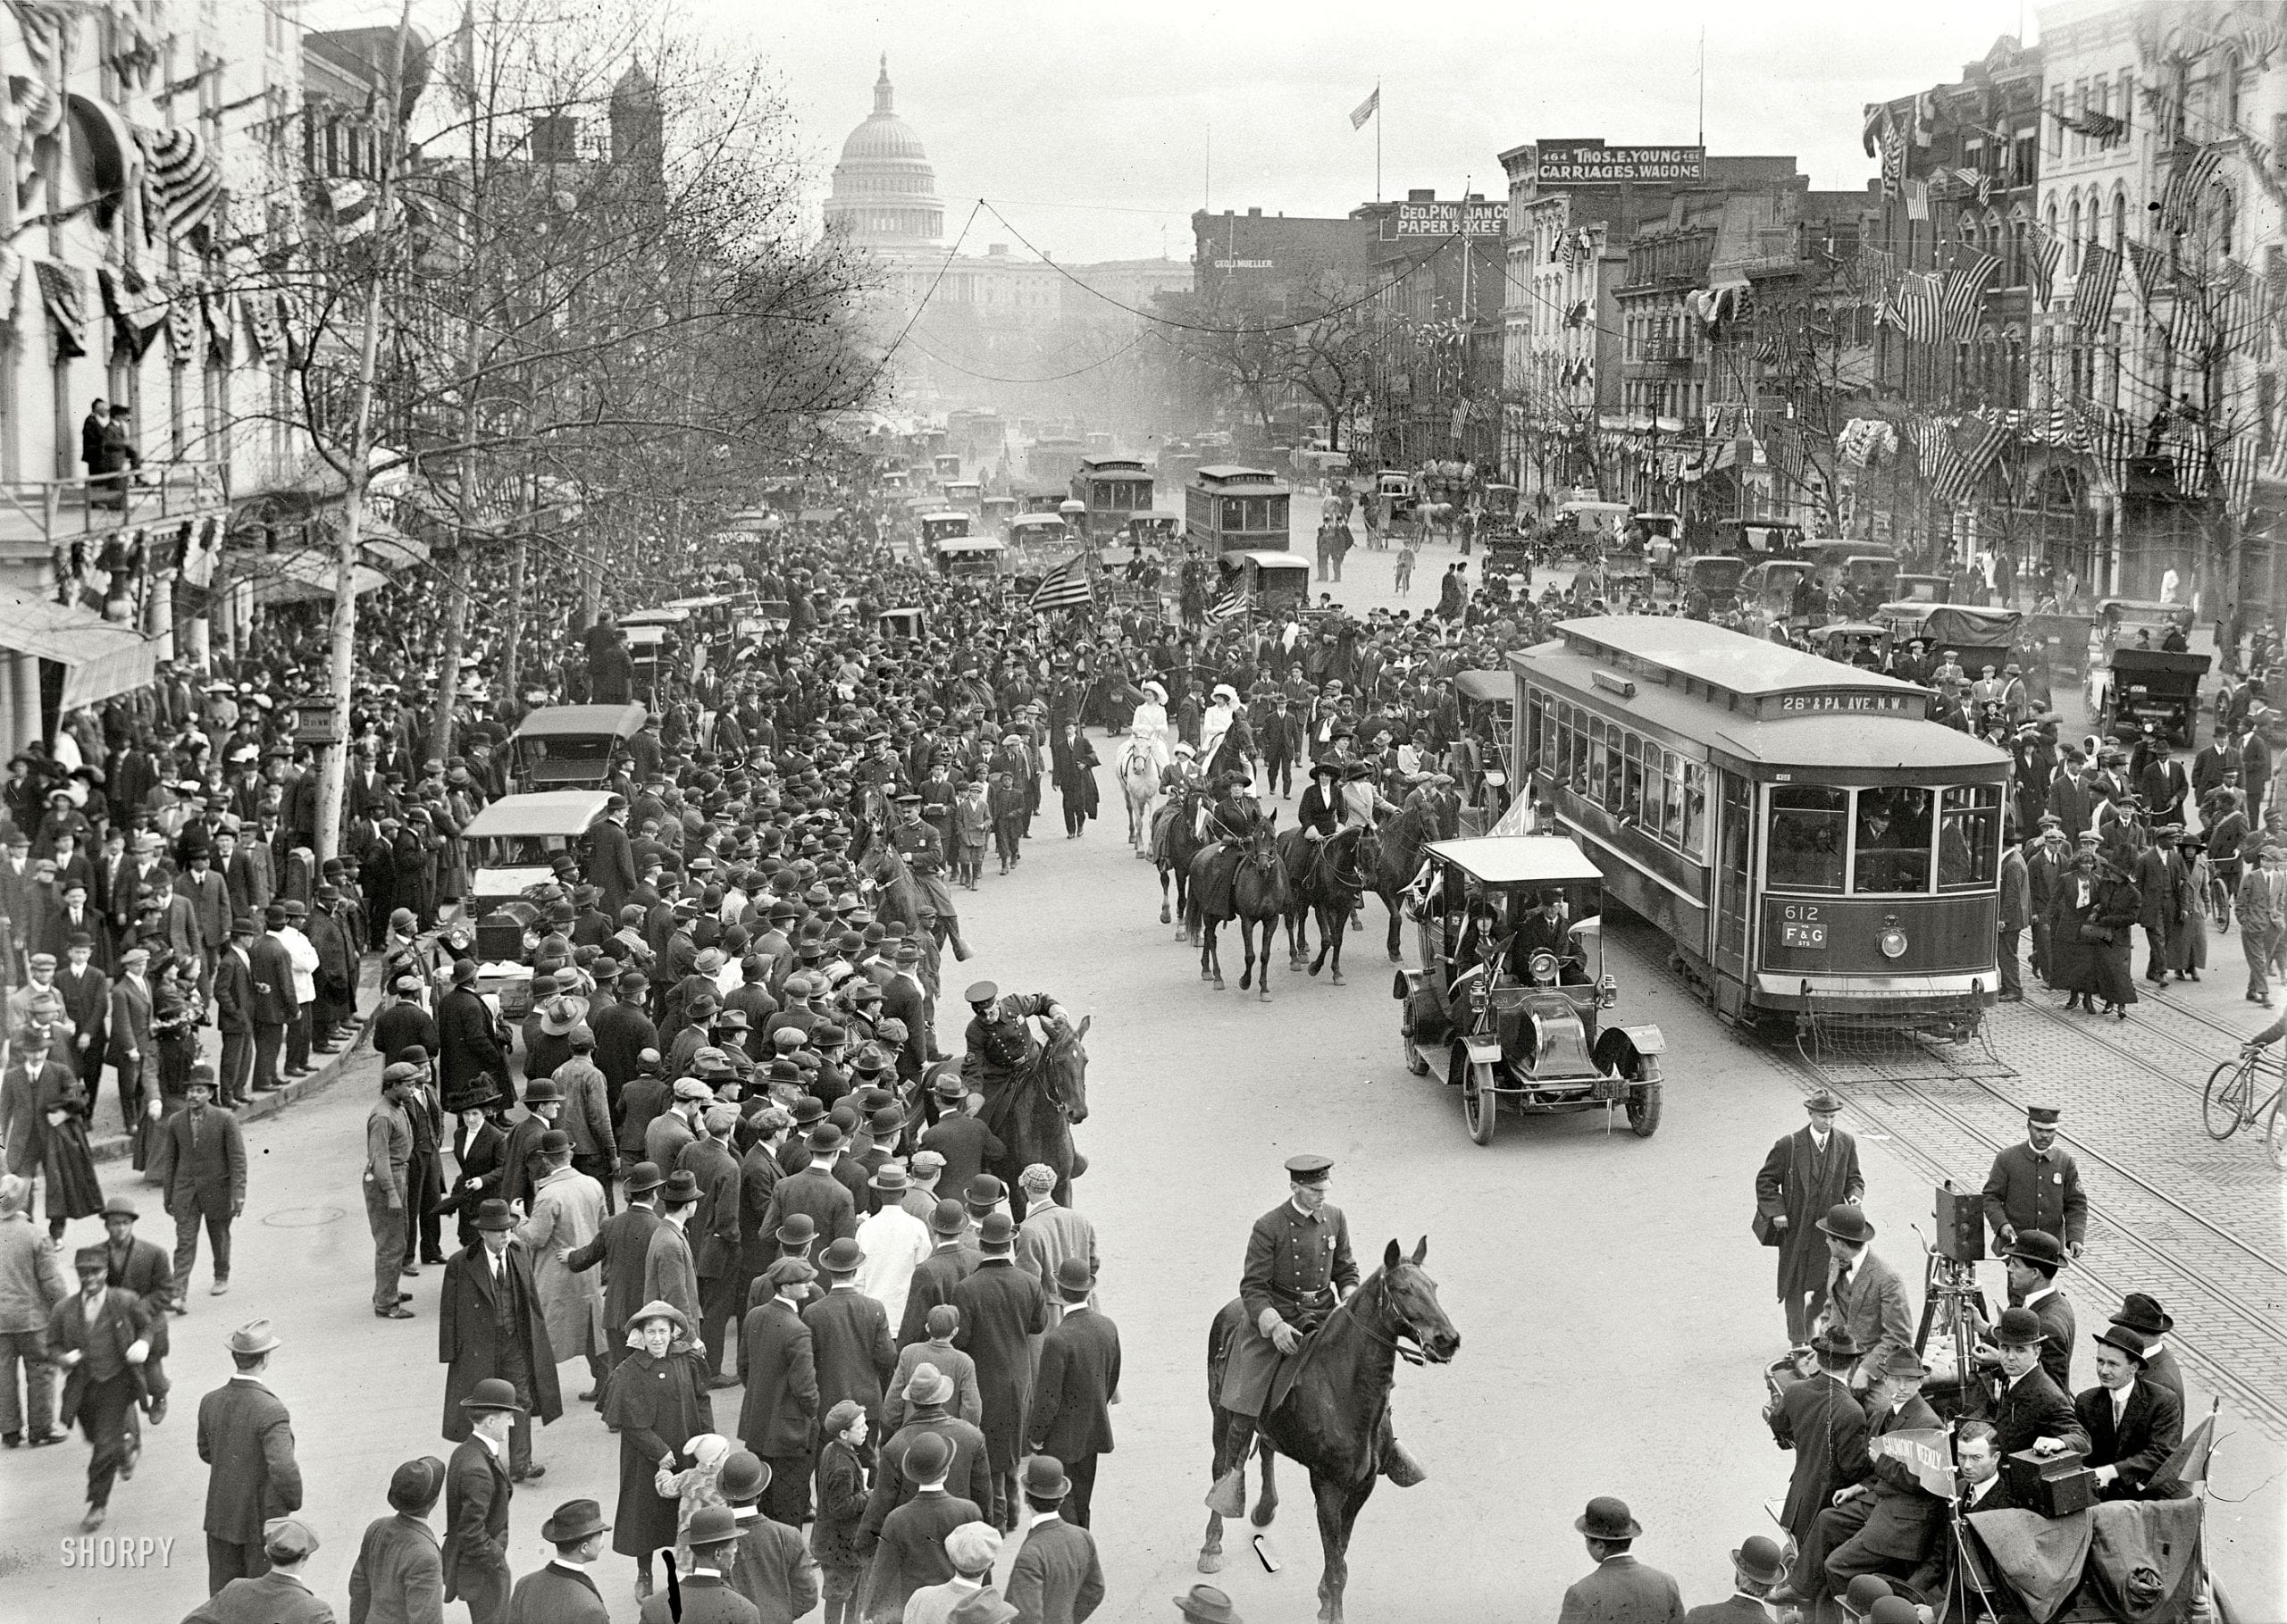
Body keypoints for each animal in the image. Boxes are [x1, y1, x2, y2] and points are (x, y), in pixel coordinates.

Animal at [1207, 1243, 1454, 1619]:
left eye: (1433, 1286)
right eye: (1402, 1289)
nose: (1448, 1340)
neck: (1345, 1389)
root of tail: (1231, 1308)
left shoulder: (1363, 1486)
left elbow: (1341, 1554)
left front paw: (1325, 1599)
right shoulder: (1327, 1486)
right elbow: (1337, 1563)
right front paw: (1332, 1608)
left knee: (1265, 1448)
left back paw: (1265, 1509)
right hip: (1221, 1418)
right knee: (1222, 1465)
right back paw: (1211, 1545)